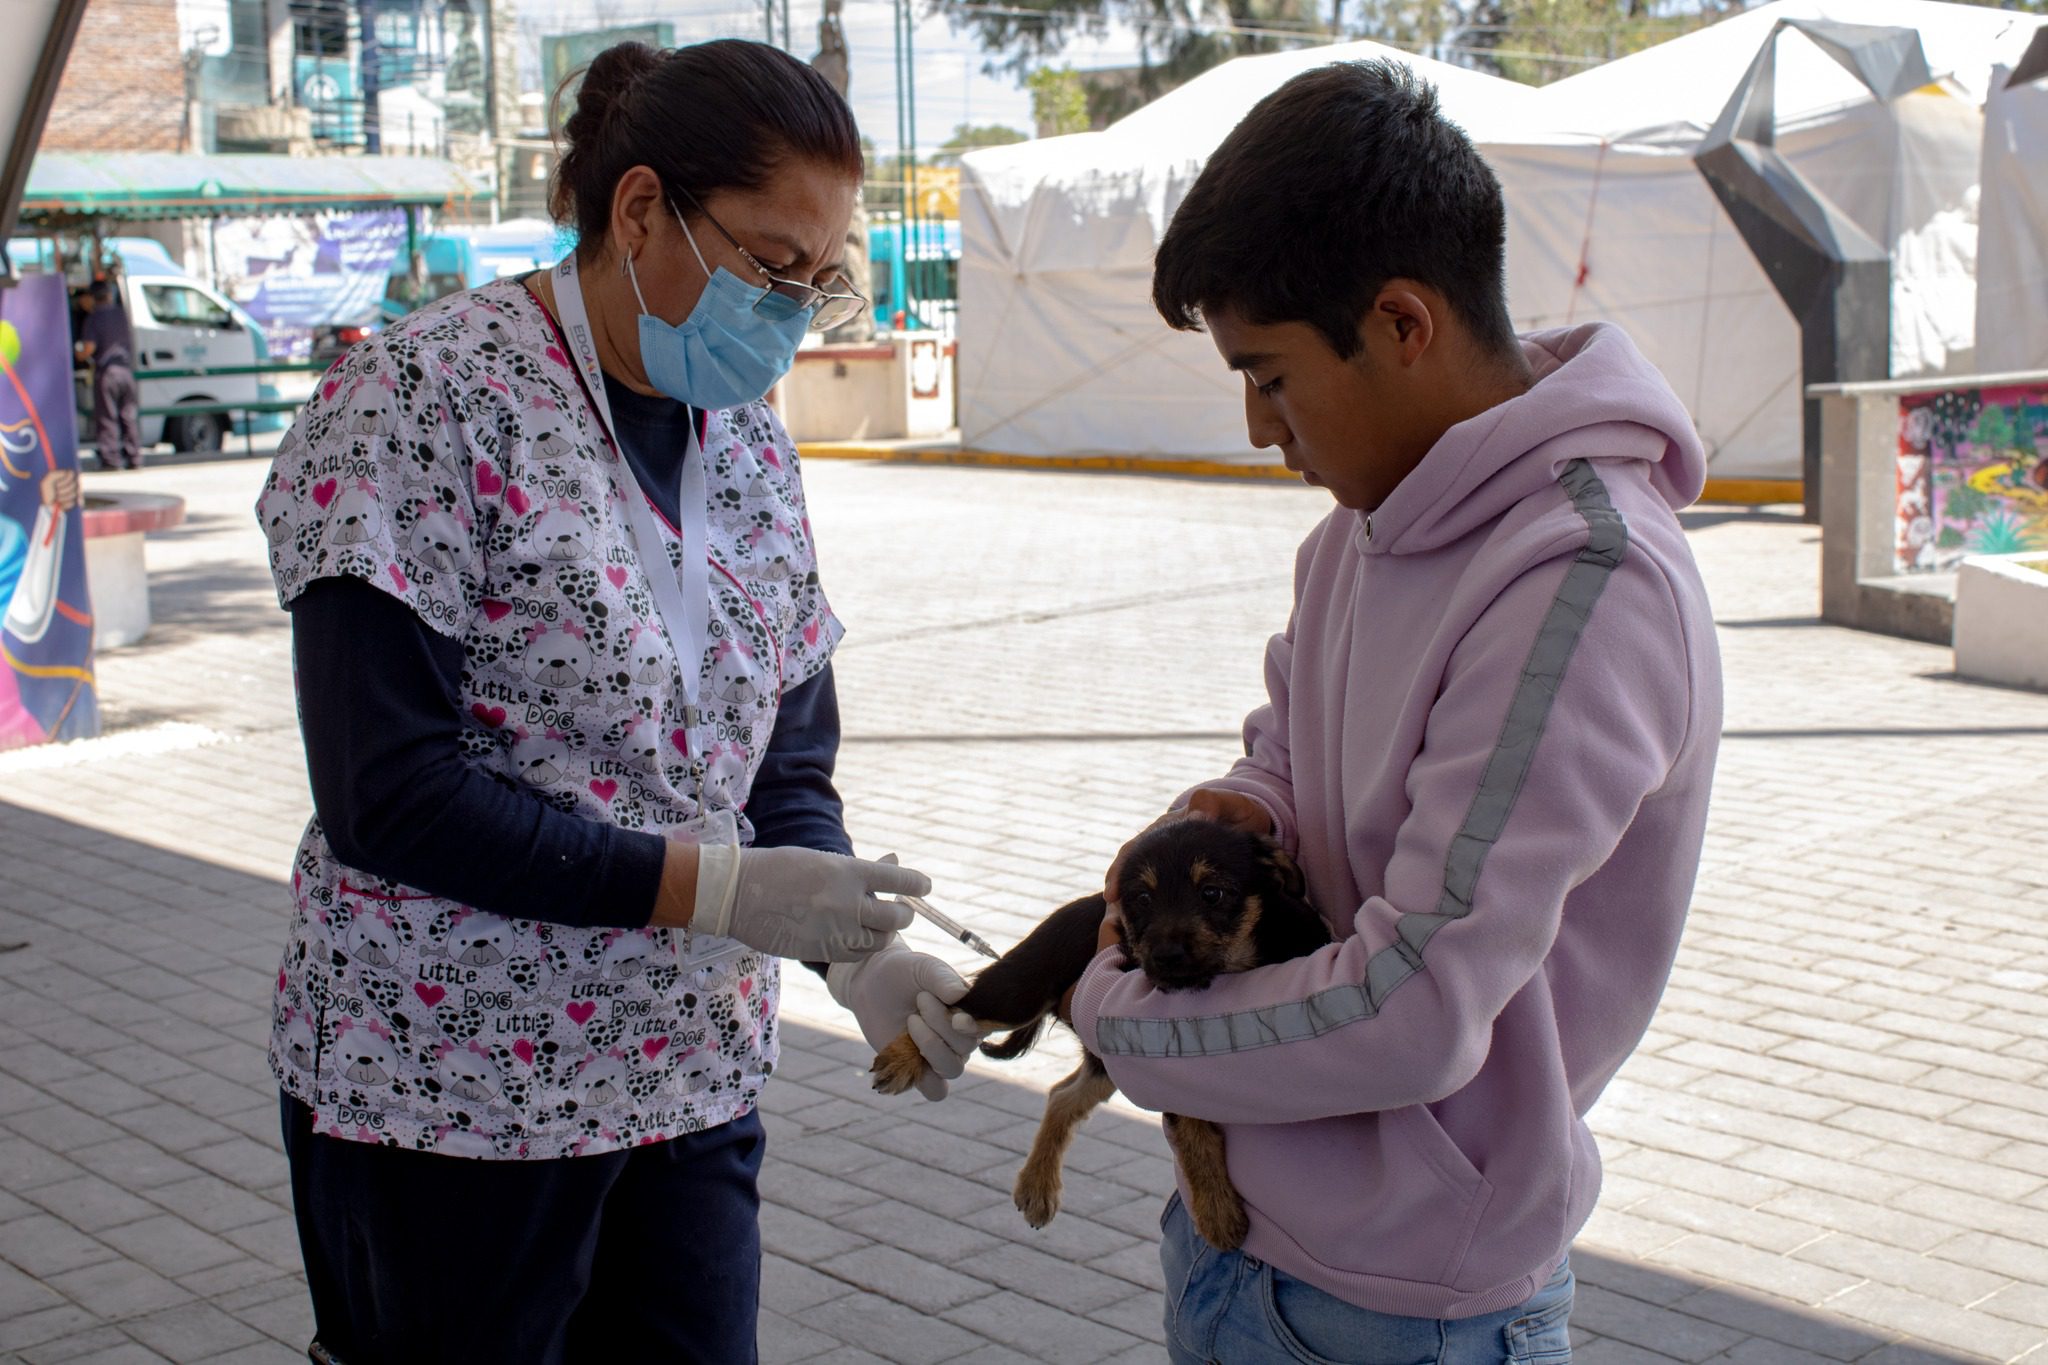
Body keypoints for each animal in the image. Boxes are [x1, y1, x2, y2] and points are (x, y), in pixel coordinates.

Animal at [864, 818, 1327, 1252]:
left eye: (1212, 893)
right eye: (1142, 899)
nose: (1164, 957)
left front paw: (1216, 1212)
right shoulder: (1165, 1060)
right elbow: (1196, 1133)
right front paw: (1219, 1214)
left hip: (1108, 1062)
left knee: (1060, 1095)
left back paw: (1037, 1186)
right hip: (1019, 990)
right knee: (950, 1006)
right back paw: (902, 1060)